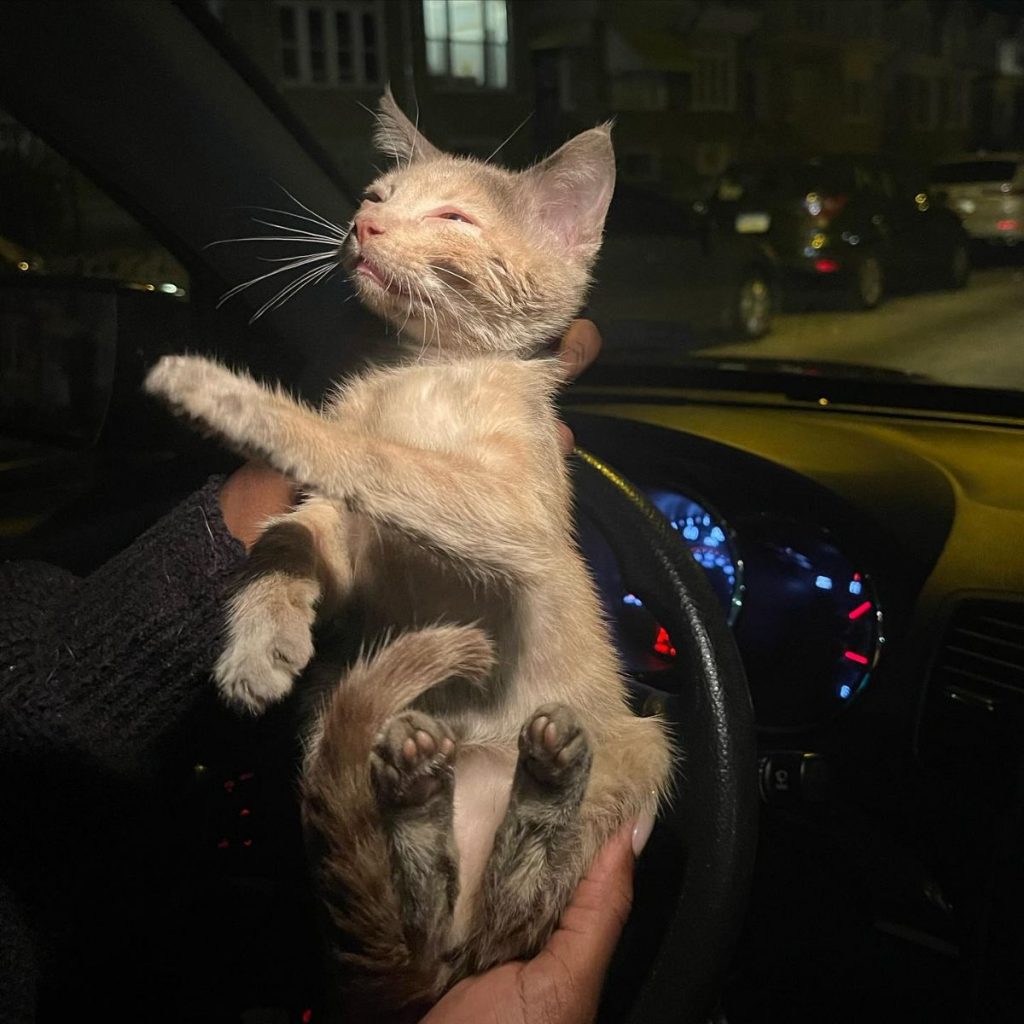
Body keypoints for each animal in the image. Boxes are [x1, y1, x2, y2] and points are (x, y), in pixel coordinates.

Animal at [144, 92, 671, 1019]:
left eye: (454, 217)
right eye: (378, 194)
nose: (362, 224)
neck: (425, 371)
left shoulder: (514, 516)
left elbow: (381, 460)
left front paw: (235, 400)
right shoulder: (351, 547)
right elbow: (293, 532)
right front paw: (260, 636)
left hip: (639, 756)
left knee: (506, 915)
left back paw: (545, 785)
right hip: (339, 724)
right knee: (427, 905)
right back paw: (418, 793)